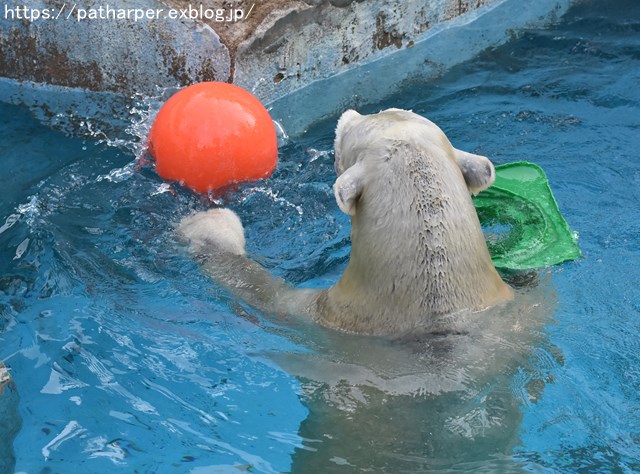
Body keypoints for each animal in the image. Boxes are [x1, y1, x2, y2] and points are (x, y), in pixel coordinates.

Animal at [178, 109, 512, 336]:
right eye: (391, 110)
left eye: (352, 131)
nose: (348, 114)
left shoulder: (317, 318)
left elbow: (257, 291)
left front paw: (208, 225)